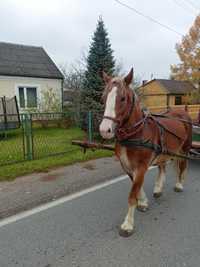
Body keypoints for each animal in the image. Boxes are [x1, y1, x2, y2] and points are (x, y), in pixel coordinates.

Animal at [99, 69, 192, 239]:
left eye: (122, 98)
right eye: (103, 98)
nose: (105, 130)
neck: (136, 132)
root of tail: (182, 111)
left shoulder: (141, 166)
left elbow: (132, 195)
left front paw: (127, 225)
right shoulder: (127, 166)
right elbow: (137, 187)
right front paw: (143, 202)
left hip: (185, 148)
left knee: (182, 165)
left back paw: (179, 184)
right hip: (164, 151)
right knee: (162, 167)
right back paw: (158, 189)